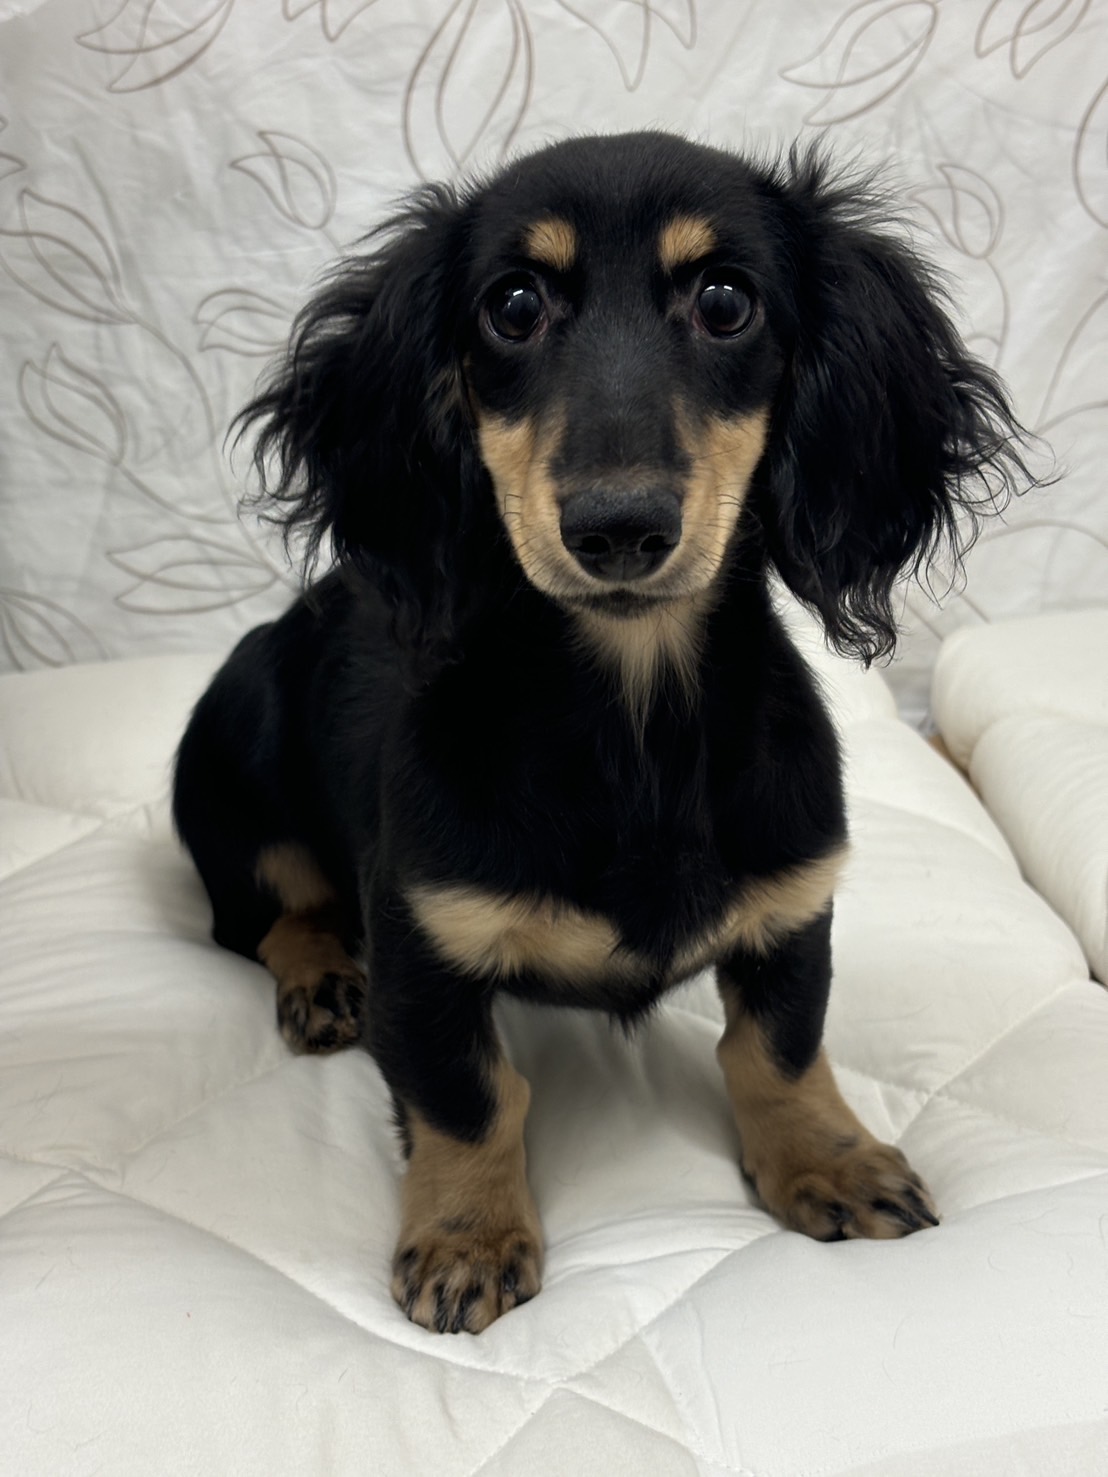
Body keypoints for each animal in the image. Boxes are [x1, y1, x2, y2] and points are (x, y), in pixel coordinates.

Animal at [173, 131, 1031, 1334]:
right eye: (513, 305)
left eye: (725, 300)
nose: (618, 527)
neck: (633, 718)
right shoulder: (421, 942)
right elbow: (469, 1095)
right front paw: (467, 1236)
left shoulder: (793, 907)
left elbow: (779, 1048)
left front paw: (830, 1159)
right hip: (236, 754)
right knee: (269, 912)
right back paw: (323, 979)